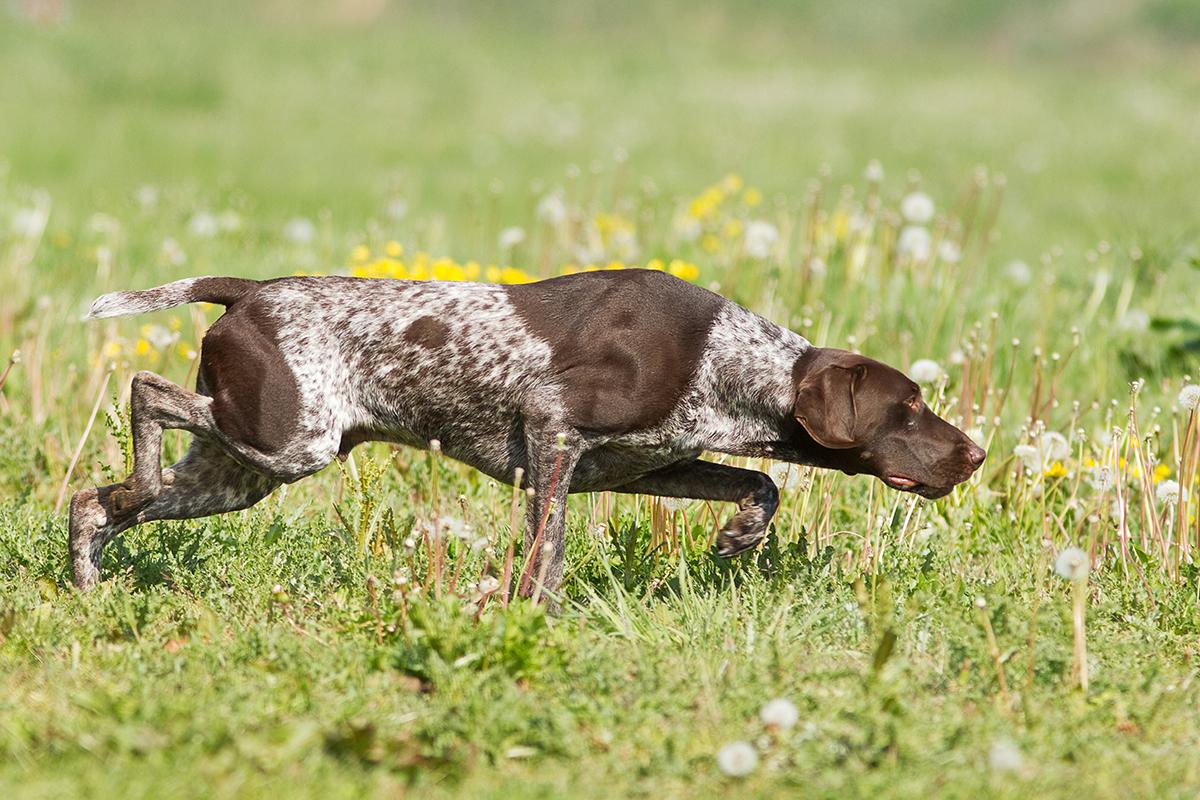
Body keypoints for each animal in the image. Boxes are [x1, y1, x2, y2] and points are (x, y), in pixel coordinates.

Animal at [70, 268, 984, 594]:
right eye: (908, 407)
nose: (975, 453)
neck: (726, 360)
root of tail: (251, 292)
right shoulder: (552, 428)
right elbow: (547, 551)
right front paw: (528, 611)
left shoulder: (641, 465)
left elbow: (758, 481)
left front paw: (740, 536)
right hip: (289, 439)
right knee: (144, 391)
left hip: (241, 470)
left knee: (93, 503)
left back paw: (87, 577)